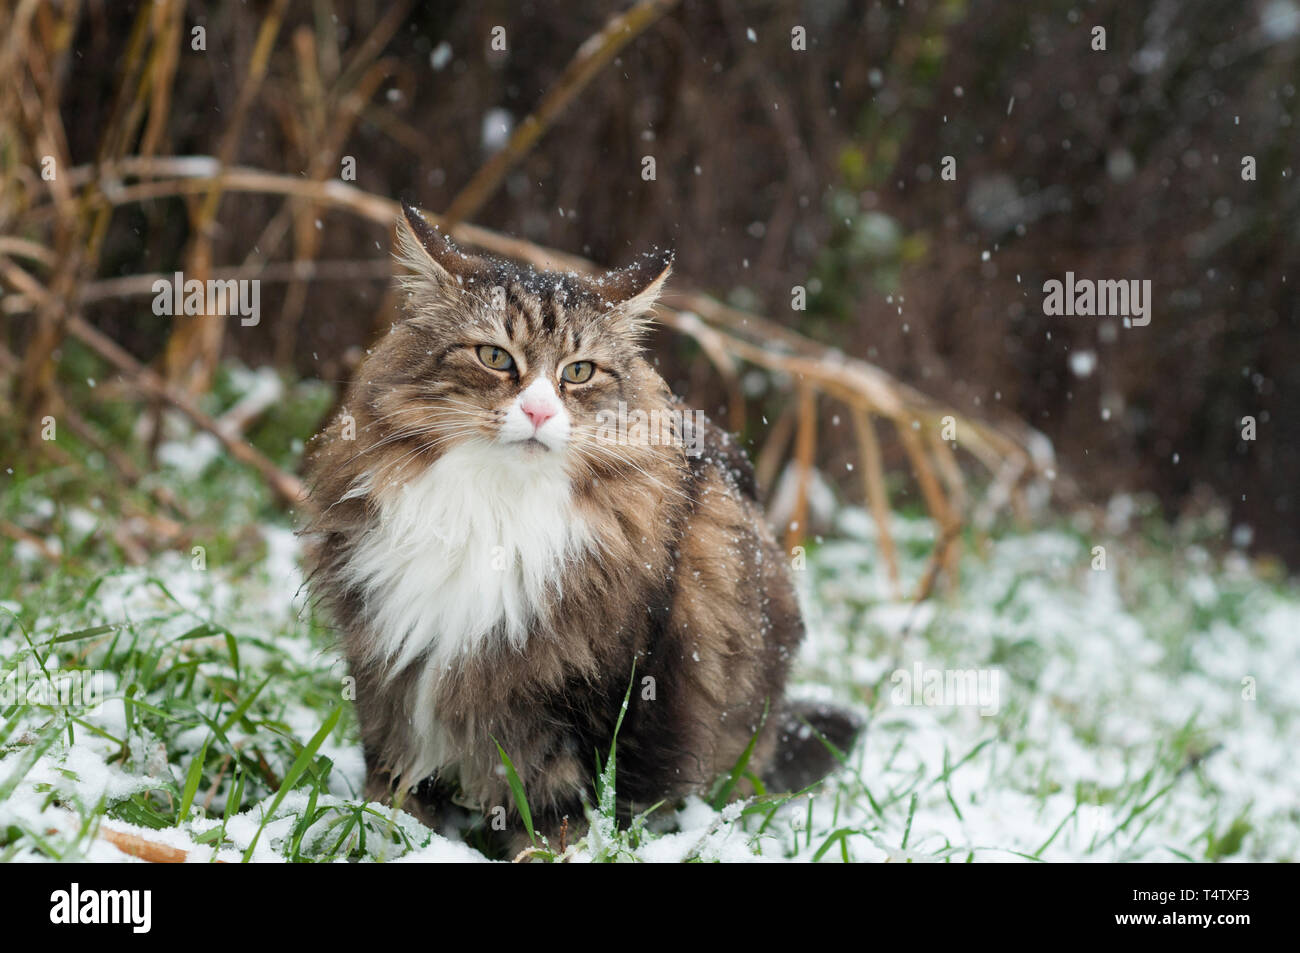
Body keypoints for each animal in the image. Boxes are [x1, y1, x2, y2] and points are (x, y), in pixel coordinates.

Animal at [299, 202, 857, 852]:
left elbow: (563, 806)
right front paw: (389, 838)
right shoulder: (389, 668)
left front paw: (544, 852)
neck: (495, 509)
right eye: (495, 357)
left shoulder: (603, 693)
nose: (540, 411)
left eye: (580, 372)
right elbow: (396, 786)